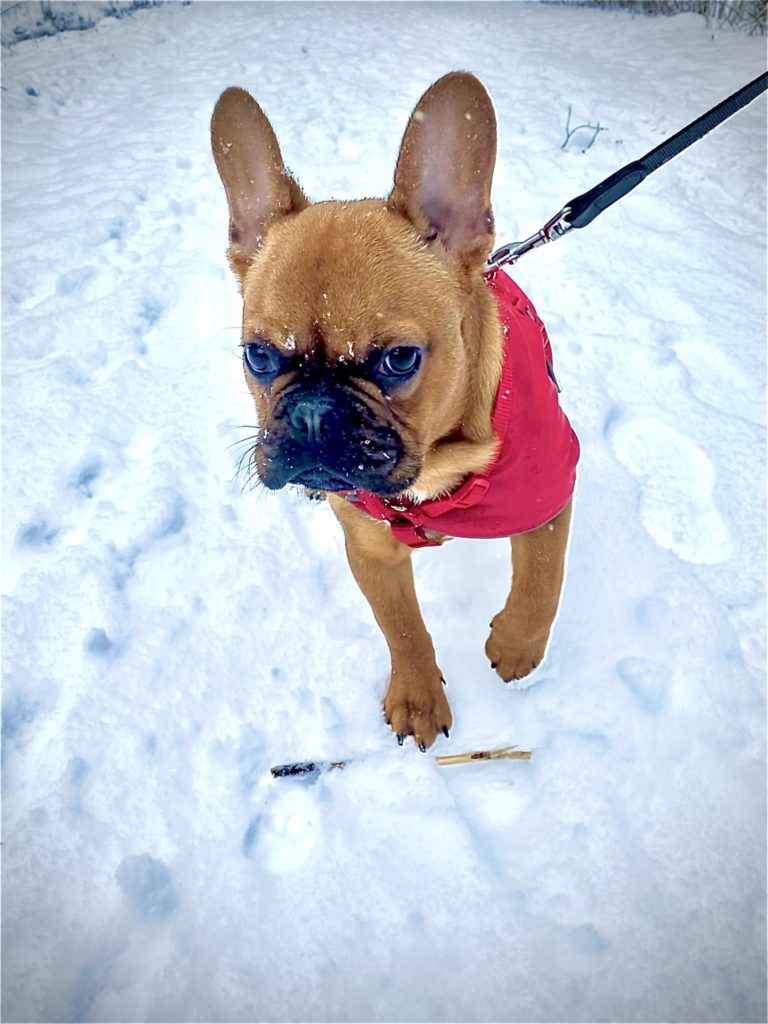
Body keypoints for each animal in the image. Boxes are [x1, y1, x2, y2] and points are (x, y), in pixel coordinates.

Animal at [208, 70, 577, 745]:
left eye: (400, 360)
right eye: (258, 356)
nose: (312, 413)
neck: (435, 467)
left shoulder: (546, 500)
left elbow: (542, 581)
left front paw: (517, 648)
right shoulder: (371, 550)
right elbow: (402, 626)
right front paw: (417, 696)